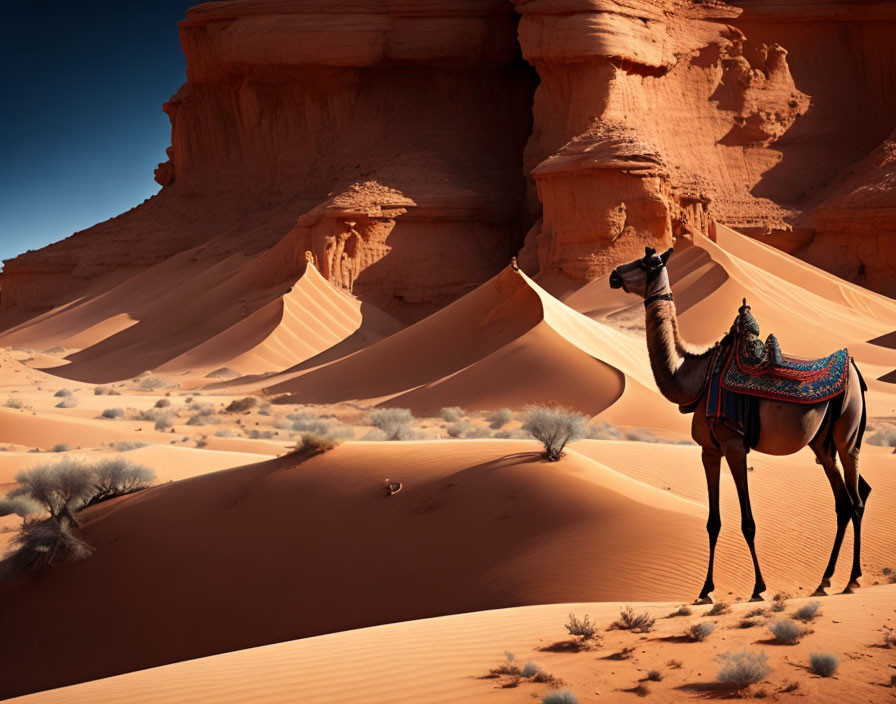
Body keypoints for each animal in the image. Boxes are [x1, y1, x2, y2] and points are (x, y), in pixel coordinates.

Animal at [608, 249, 868, 604]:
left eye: (646, 262)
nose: (614, 275)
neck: (695, 378)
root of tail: (853, 367)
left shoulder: (733, 444)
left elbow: (747, 522)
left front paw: (759, 588)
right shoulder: (709, 450)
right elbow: (713, 522)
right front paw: (705, 590)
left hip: (847, 434)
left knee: (855, 501)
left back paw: (852, 580)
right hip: (822, 443)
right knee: (843, 502)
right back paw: (824, 581)